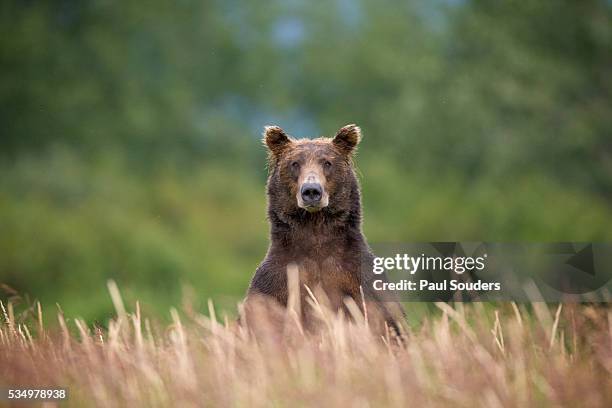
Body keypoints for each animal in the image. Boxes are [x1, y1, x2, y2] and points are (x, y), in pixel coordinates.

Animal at [244, 122, 406, 336]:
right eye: (295, 163)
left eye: (327, 163)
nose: (311, 190)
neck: (315, 228)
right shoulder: (276, 283)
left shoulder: (359, 279)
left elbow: (388, 322)